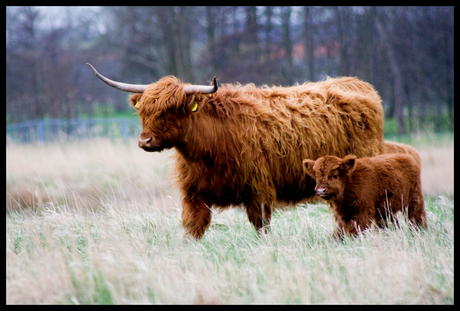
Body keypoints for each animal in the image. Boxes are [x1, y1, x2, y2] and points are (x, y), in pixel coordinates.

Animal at [86, 62, 384, 239]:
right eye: (143, 111)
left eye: (171, 110)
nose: (145, 141)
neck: (208, 148)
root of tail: (358, 84)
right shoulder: (193, 194)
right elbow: (192, 228)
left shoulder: (259, 191)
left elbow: (262, 227)